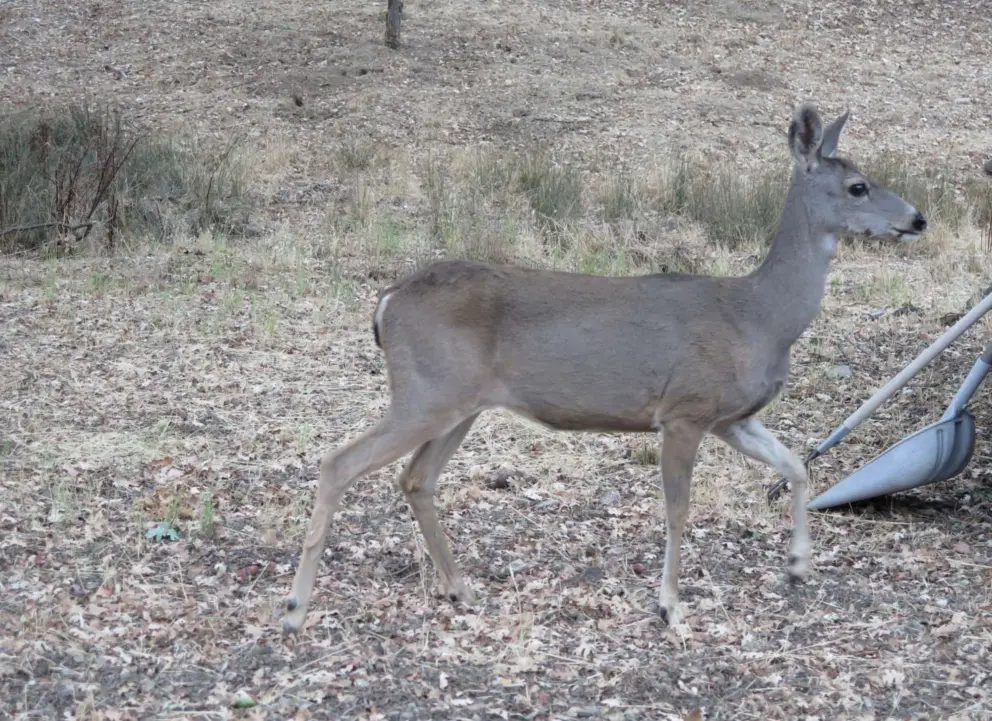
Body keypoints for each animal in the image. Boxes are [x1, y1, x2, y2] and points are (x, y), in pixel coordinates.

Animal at [280, 103, 927, 633]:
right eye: (859, 186)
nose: (919, 218)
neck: (759, 318)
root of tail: (387, 300)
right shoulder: (685, 409)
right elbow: (678, 509)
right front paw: (670, 606)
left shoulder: (731, 417)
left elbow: (795, 467)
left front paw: (796, 567)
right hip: (426, 392)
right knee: (339, 462)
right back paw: (294, 608)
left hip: (459, 402)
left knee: (415, 478)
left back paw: (460, 588)